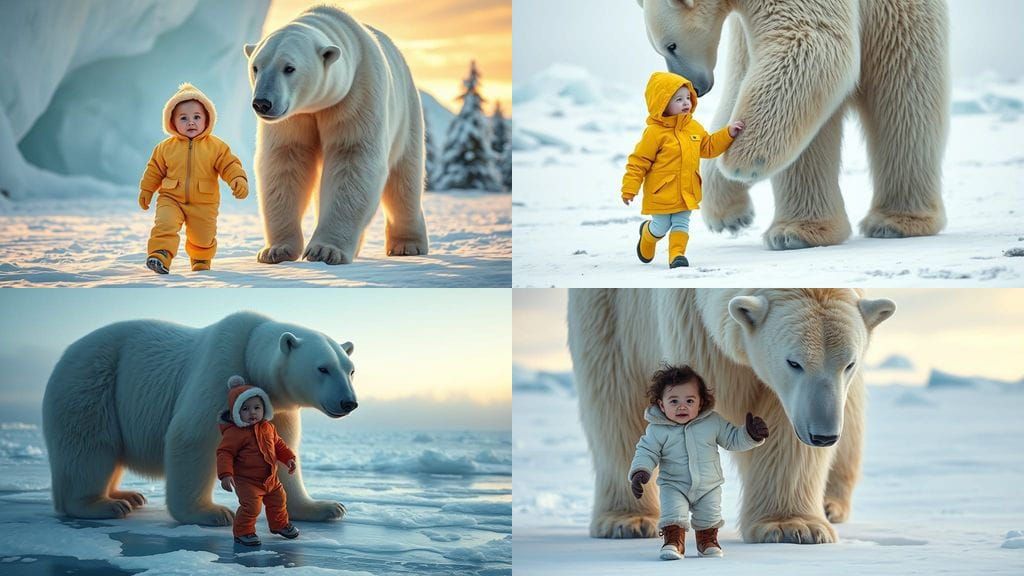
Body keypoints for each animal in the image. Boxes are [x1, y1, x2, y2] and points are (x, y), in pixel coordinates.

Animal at [42, 311, 358, 526]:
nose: (349, 402)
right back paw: (102, 505)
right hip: (93, 384)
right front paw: (211, 513)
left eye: (350, 369)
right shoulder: (221, 372)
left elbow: (279, 453)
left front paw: (326, 507)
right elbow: (194, 436)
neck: (250, 349)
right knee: (89, 446)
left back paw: (128, 496)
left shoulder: (280, 409)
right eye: (323, 368)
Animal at [244, 5, 429, 265]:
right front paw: (276, 250)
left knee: (405, 181)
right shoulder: (293, 118)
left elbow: (352, 158)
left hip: (407, 115)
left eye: (289, 67)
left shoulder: (356, 96)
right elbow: (285, 162)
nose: (262, 103)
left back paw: (407, 245)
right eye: (256, 67)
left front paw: (325, 251)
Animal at [567, 288, 896, 543]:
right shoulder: (691, 328)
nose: (823, 435)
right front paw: (791, 526)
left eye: (849, 363)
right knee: (615, 400)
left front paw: (796, 526)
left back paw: (830, 504)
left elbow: (786, 433)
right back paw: (628, 520)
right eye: (794, 362)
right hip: (608, 315)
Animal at [636, 0, 949, 250]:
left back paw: (892, 223)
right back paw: (797, 232)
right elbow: (740, 84)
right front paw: (730, 216)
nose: (697, 88)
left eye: (671, 45)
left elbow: (808, 37)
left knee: (903, 97)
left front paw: (741, 164)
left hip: (899, 17)